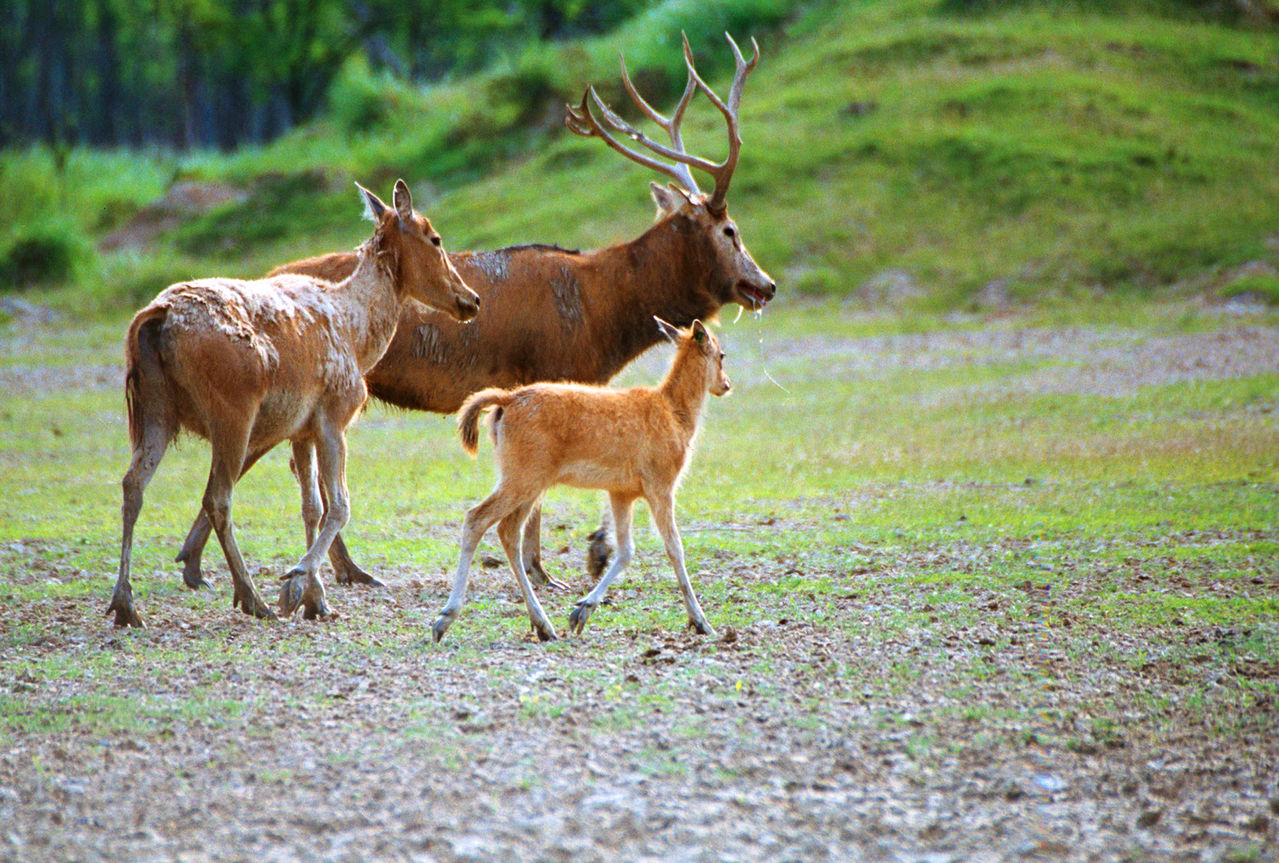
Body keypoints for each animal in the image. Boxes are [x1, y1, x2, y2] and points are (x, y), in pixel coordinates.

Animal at [107, 180, 480, 629]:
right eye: (435, 238)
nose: (472, 299)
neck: (359, 338)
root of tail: (156, 317)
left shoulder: (301, 429)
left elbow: (311, 506)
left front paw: (315, 600)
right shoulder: (334, 414)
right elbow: (340, 505)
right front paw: (296, 581)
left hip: (155, 408)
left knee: (133, 484)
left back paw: (125, 604)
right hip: (232, 409)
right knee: (217, 497)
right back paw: (252, 598)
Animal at [167, 32, 767, 600]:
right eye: (731, 230)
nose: (765, 284)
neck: (603, 313)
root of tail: (270, 272)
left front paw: (573, 559)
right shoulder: (550, 370)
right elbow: (538, 489)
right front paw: (550, 567)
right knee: (253, 459)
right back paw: (243, 567)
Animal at [434, 317, 731, 641]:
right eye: (721, 354)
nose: (726, 384)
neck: (677, 416)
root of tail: (506, 399)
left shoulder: (621, 491)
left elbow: (625, 550)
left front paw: (581, 612)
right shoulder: (661, 484)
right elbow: (674, 547)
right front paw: (701, 622)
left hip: (528, 481)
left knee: (508, 531)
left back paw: (543, 625)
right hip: (523, 477)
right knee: (476, 517)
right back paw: (444, 620)